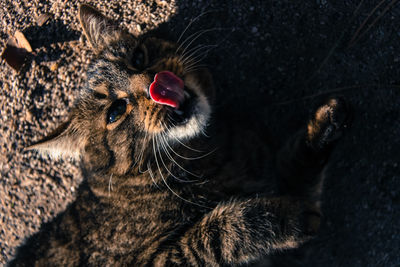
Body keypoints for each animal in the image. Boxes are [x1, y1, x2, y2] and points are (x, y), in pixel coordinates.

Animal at [8, 4, 350, 267]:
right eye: (115, 112)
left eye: (138, 58)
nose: (154, 83)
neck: (211, 155)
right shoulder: (159, 260)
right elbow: (216, 233)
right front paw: (286, 218)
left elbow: (299, 172)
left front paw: (323, 127)